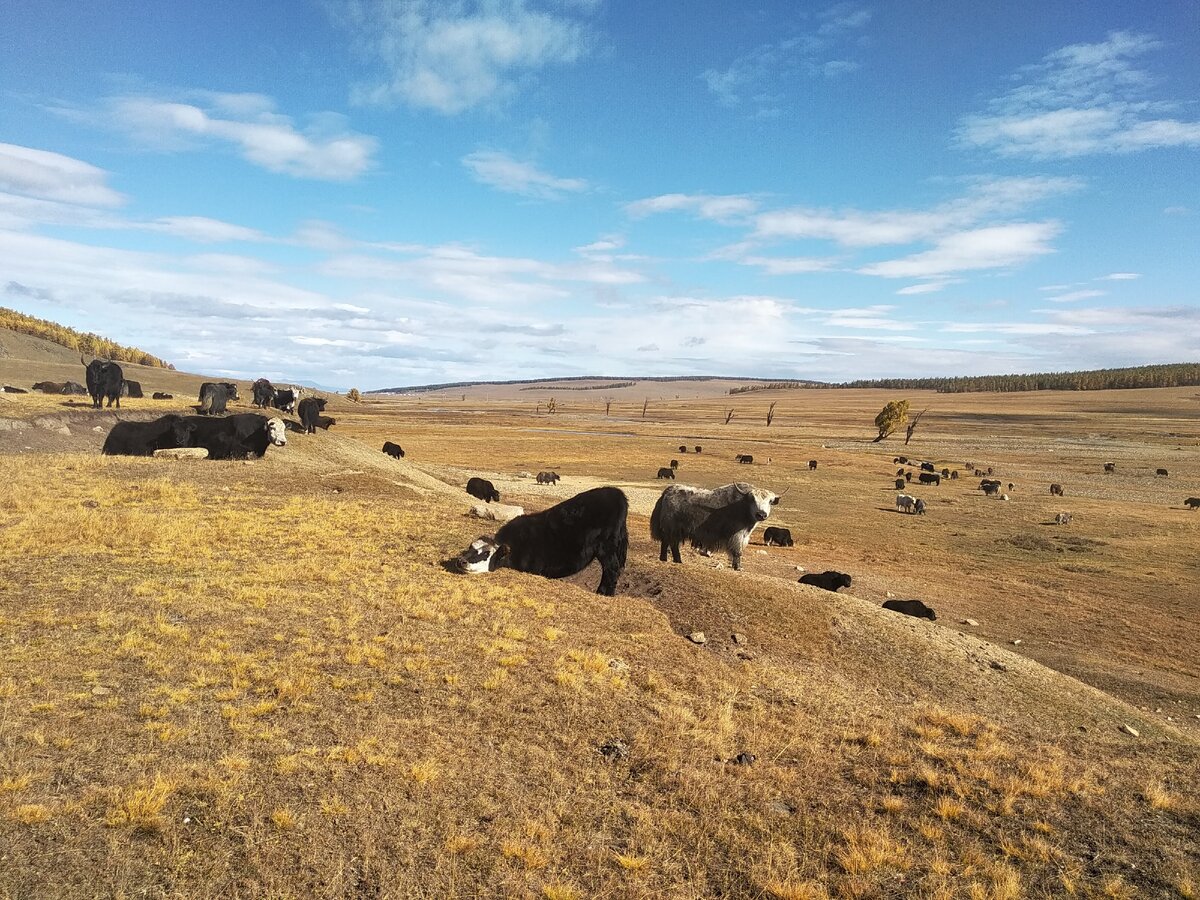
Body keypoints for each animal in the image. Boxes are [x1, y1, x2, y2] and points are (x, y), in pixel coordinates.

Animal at [444, 489, 628, 595]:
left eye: (486, 554)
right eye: (470, 547)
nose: (461, 561)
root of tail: (617, 493)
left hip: (606, 547)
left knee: (612, 569)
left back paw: (602, 593)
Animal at [652, 487, 782, 571]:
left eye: (770, 501)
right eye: (753, 500)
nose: (761, 514)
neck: (745, 508)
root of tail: (666, 493)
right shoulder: (737, 535)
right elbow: (737, 551)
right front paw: (738, 568)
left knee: (670, 544)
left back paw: (672, 560)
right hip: (672, 529)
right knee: (669, 543)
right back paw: (670, 559)